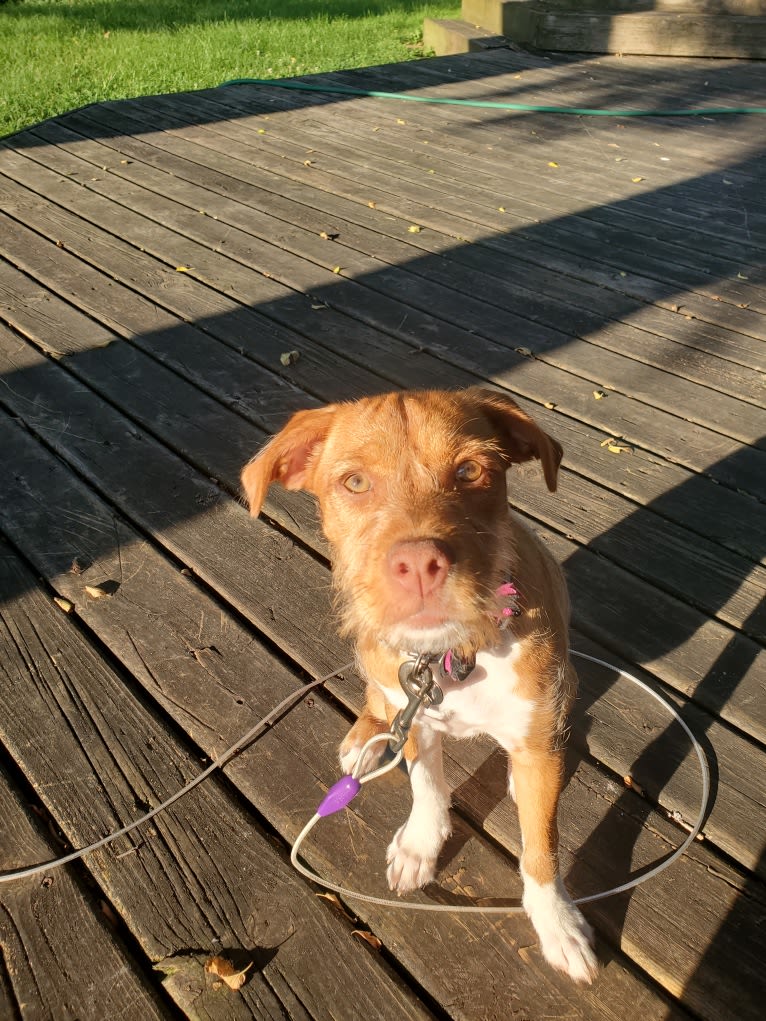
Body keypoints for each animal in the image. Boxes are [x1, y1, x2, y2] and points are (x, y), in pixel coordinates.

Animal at [244, 387, 600, 980]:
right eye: (354, 482)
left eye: (471, 470)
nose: (418, 565)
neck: (451, 655)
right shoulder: (414, 712)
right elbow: (427, 786)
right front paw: (418, 846)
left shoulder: (534, 729)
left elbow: (541, 845)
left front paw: (557, 922)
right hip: (377, 665)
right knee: (378, 702)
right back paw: (366, 739)